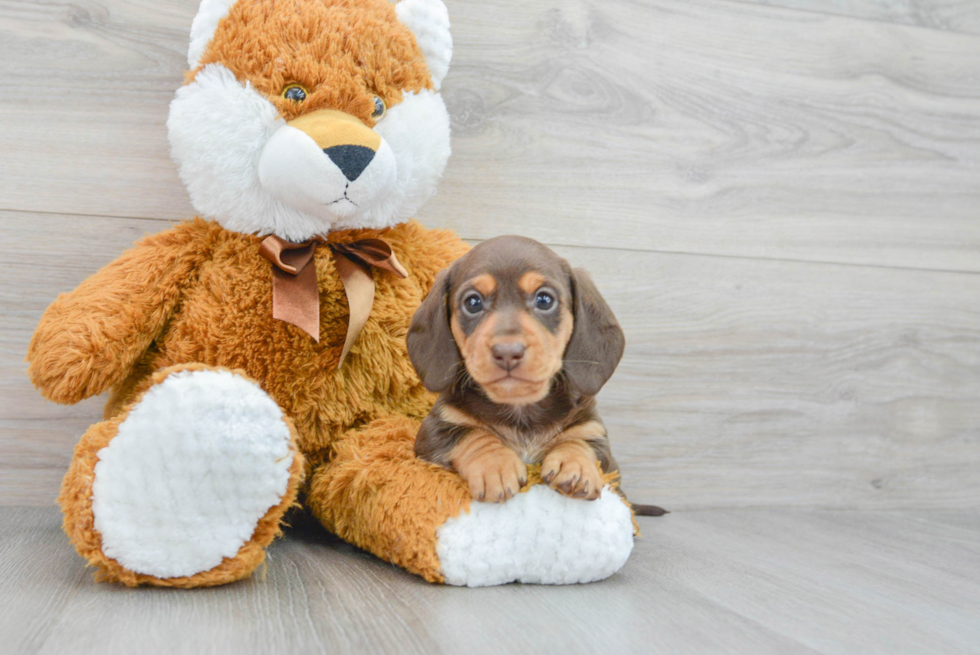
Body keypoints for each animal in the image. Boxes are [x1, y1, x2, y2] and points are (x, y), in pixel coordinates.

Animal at [408, 238, 628, 504]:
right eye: (473, 303)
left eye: (544, 300)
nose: (507, 352)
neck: (521, 409)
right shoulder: (434, 431)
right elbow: (473, 434)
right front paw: (495, 464)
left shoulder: (595, 436)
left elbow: (577, 441)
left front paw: (575, 466)